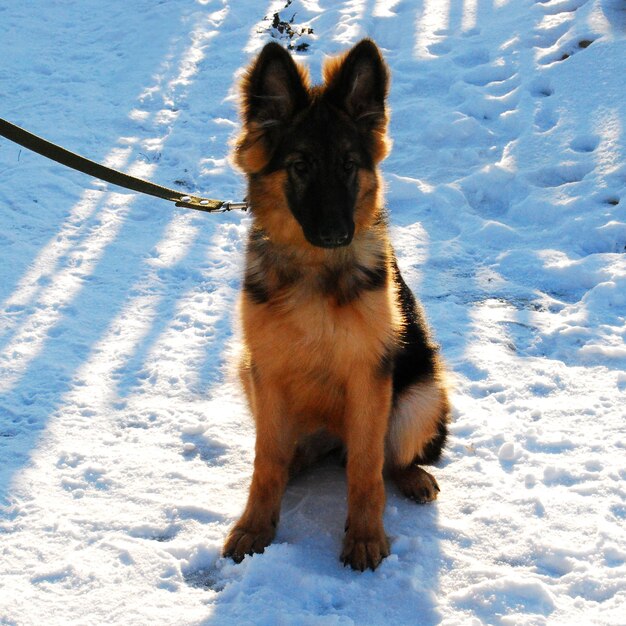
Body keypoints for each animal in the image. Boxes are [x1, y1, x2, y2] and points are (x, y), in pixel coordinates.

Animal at [224, 39, 448, 572]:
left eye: (348, 165)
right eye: (301, 166)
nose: (335, 235)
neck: (314, 268)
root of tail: (331, 439)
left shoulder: (369, 374)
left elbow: (366, 469)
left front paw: (365, 537)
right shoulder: (267, 369)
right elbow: (266, 461)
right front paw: (255, 526)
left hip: (420, 396)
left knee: (391, 457)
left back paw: (412, 477)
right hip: (246, 372)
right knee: (290, 456)